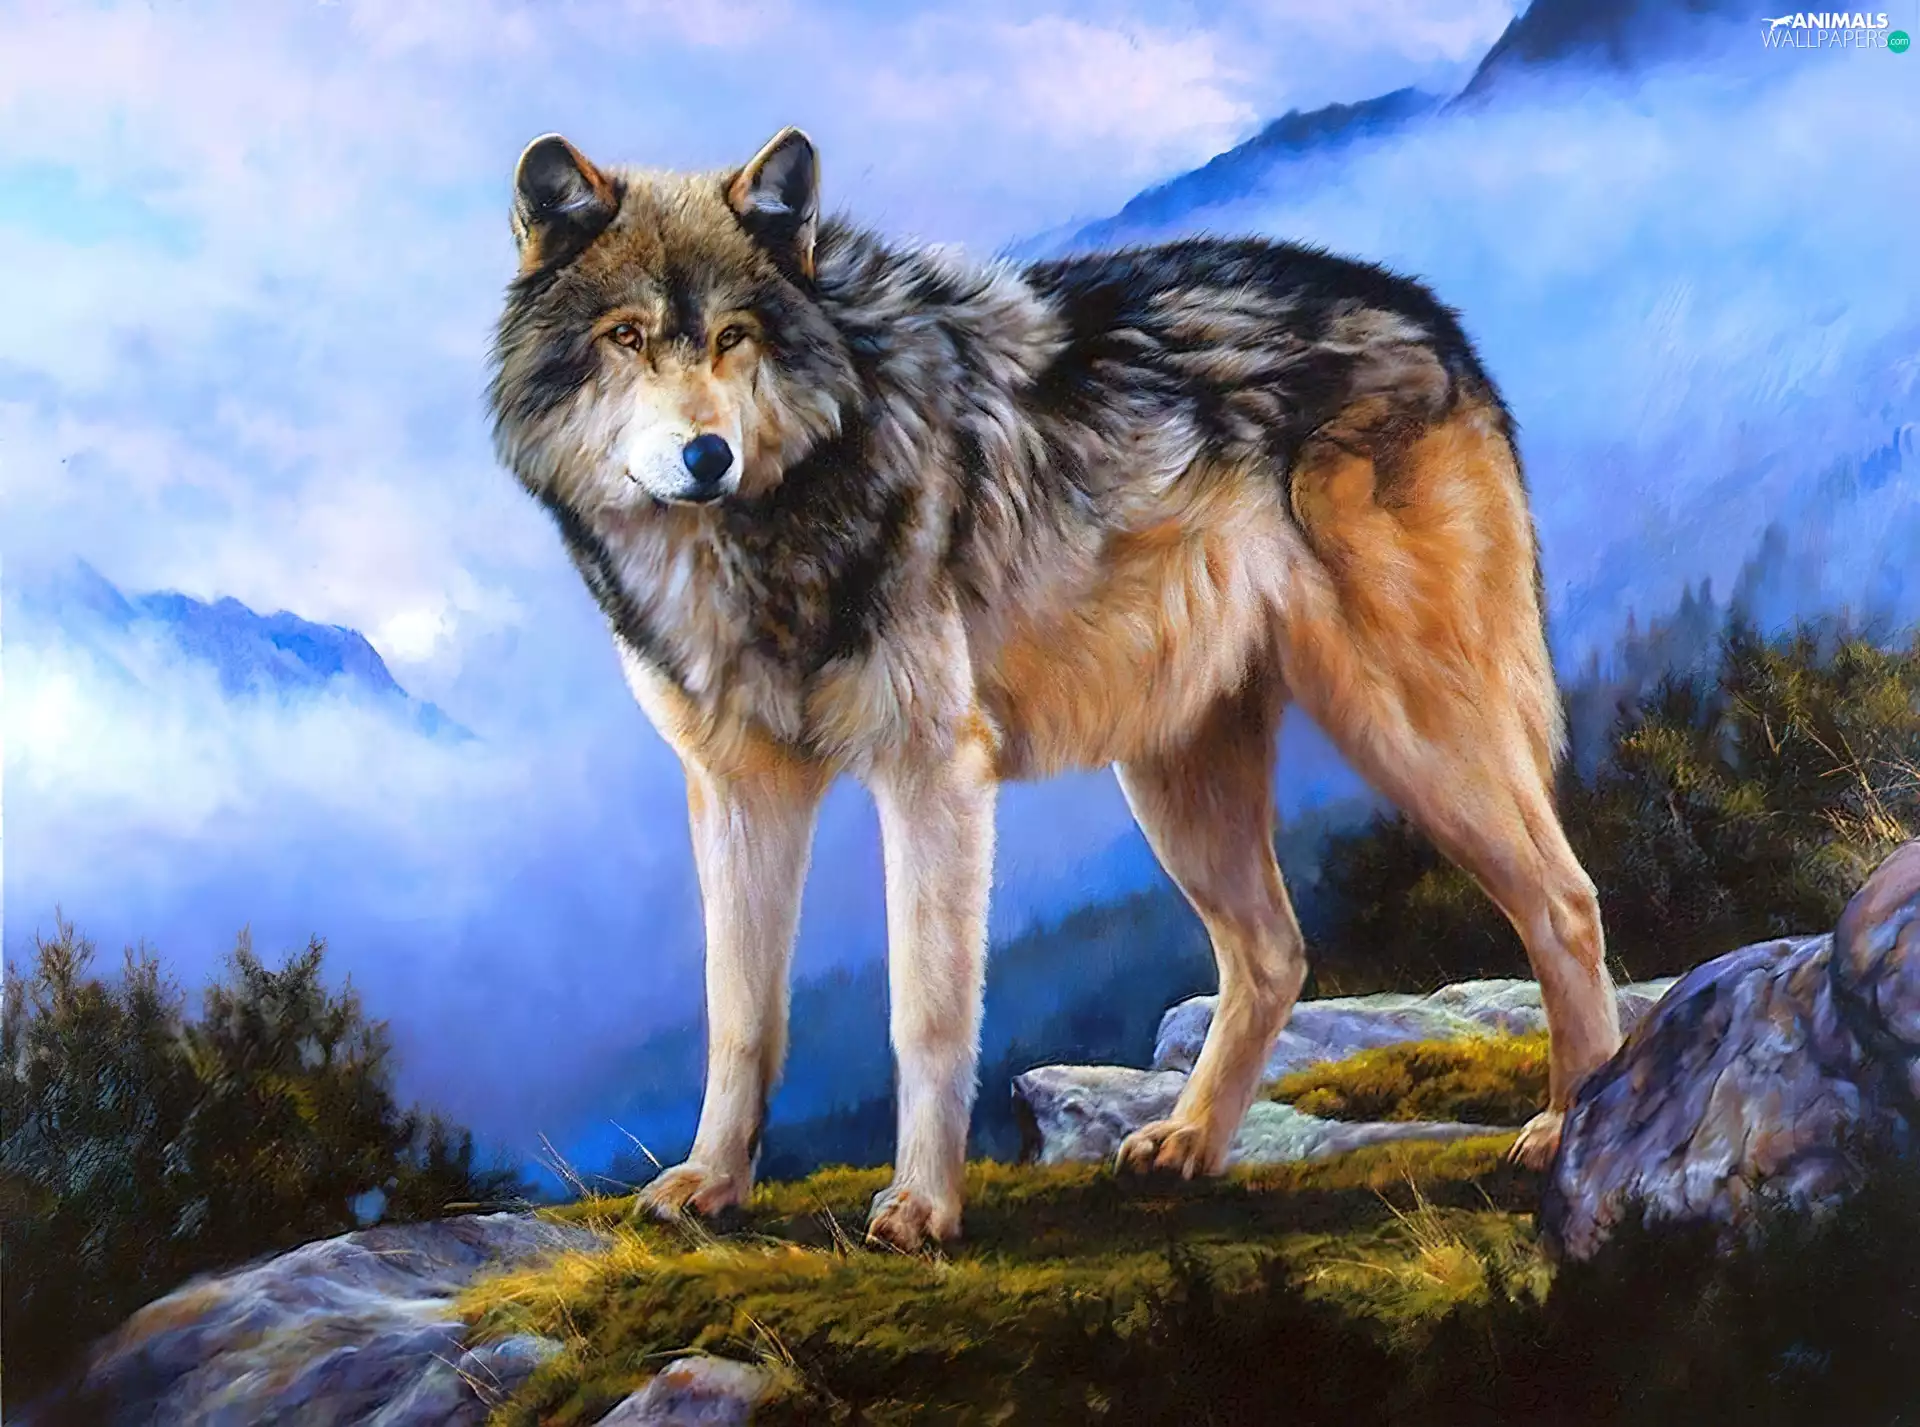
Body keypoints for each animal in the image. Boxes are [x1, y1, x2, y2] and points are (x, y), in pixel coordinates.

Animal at [489, 127, 1625, 1251]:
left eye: (734, 337)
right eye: (627, 336)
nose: (707, 454)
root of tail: (1431, 314)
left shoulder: (934, 773)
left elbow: (927, 1010)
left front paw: (923, 1206)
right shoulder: (738, 789)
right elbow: (739, 1015)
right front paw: (712, 1182)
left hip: (1408, 727)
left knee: (1565, 899)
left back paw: (1571, 1123)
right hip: (1178, 780)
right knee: (1273, 951)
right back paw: (1190, 1142)